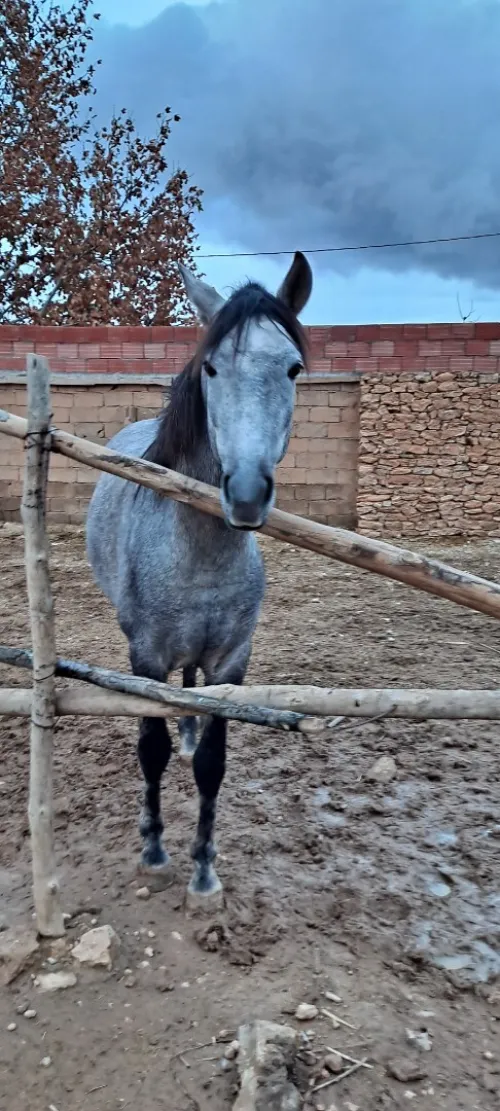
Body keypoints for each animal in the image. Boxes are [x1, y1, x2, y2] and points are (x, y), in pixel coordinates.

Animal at [86, 251, 313, 907]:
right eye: (211, 367)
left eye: (292, 367)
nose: (246, 493)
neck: (198, 554)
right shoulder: (145, 658)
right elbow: (151, 751)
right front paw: (154, 849)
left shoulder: (233, 662)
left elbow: (213, 763)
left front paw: (205, 870)